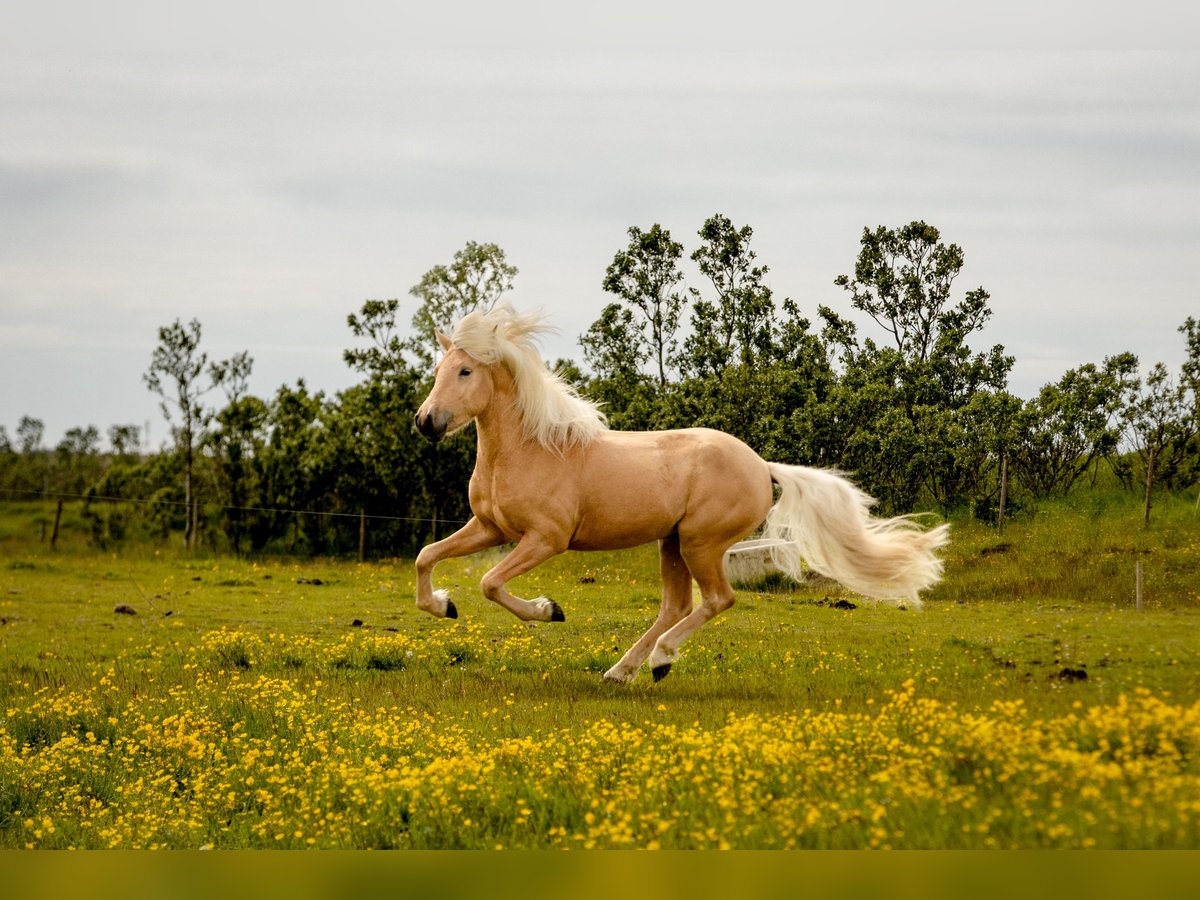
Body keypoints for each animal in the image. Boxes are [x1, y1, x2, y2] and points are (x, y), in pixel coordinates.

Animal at [413, 305, 949, 683]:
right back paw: (622, 671)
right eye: (440, 369)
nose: (426, 422)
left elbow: (491, 583)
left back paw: (660, 662)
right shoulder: (489, 527)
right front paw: (443, 606)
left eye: (465, 372)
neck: (531, 449)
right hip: (671, 542)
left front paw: (549, 611)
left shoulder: (546, 538)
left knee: (717, 599)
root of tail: (762, 467)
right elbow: (426, 556)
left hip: (699, 542)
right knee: (677, 606)